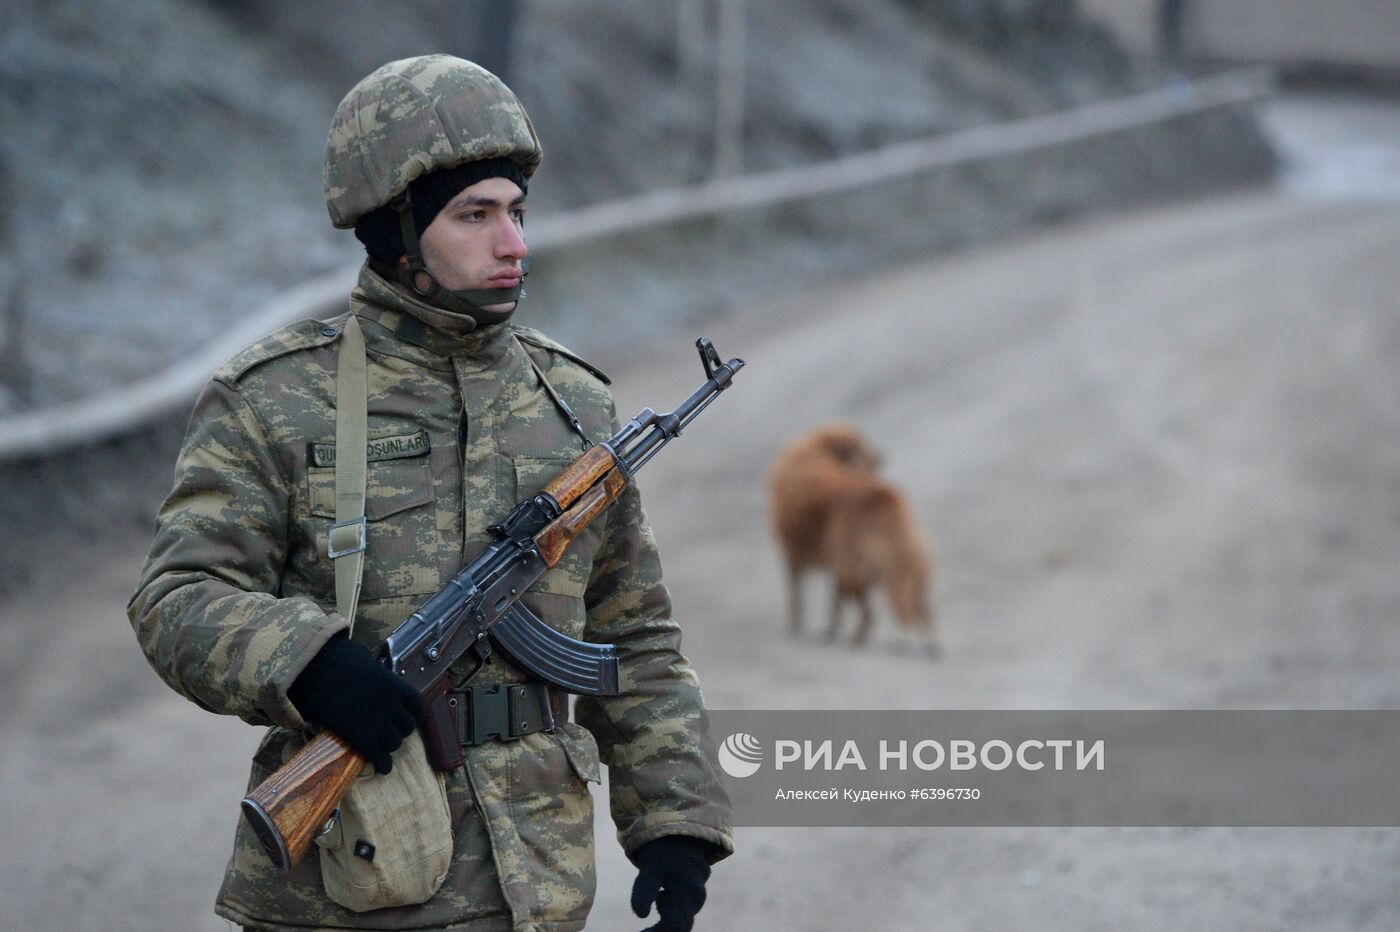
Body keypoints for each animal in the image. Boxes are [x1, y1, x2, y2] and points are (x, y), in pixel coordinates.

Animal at [767, 422, 940, 649]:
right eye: (869, 457)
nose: (881, 458)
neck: (821, 449)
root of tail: (885, 500)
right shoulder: (820, 563)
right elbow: (827, 603)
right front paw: (826, 629)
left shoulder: (798, 556)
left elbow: (800, 598)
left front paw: (807, 628)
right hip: (912, 571)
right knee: (923, 611)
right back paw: (931, 646)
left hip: (854, 572)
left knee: (870, 615)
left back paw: (857, 640)